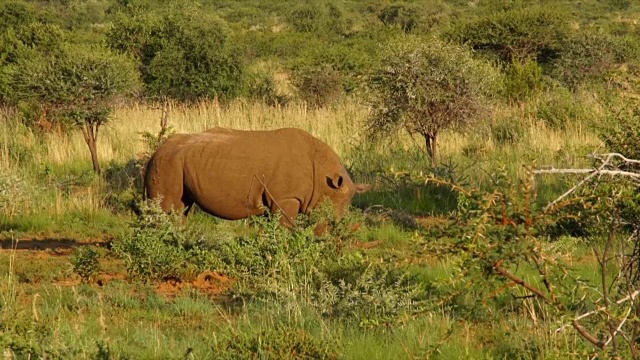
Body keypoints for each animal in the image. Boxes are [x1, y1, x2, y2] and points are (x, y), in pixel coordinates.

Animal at [142, 127, 368, 225]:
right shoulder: (286, 198)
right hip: (169, 163)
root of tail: (155, 152)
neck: (323, 176)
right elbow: (285, 226)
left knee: (180, 209)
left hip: (177, 162)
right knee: (167, 208)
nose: (335, 225)